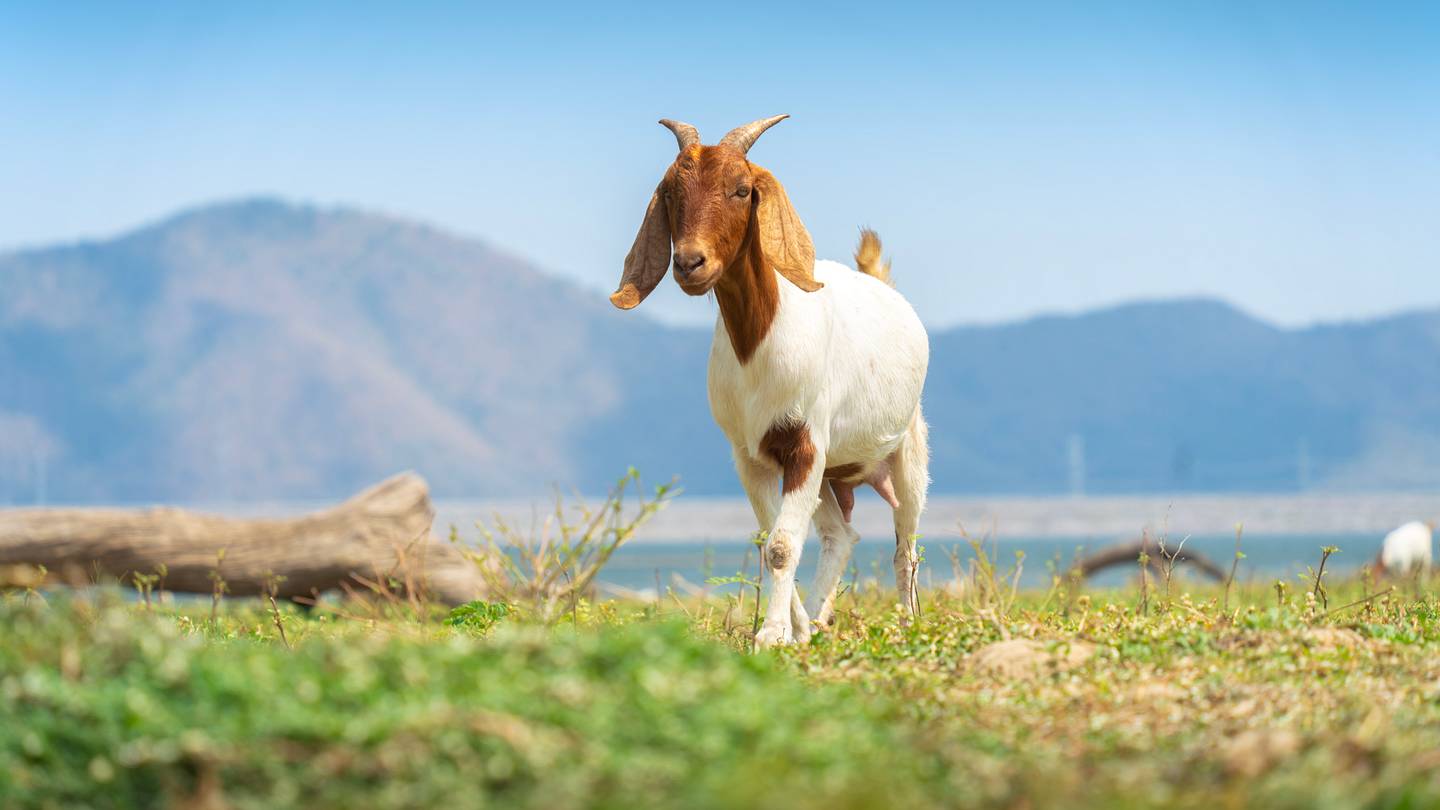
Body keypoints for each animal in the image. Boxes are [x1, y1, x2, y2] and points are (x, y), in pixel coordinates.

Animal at [611, 115, 930, 647]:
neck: (759, 346)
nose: (690, 263)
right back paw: (818, 622)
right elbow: (770, 542)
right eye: (671, 193)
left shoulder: (805, 443)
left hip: (906, 450)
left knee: (905, 545)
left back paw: (908, 624)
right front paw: (790, 631)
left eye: (742, 189)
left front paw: (772, 634)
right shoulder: (751, 455)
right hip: (831, 473)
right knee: (840, 534)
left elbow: (782, 544)